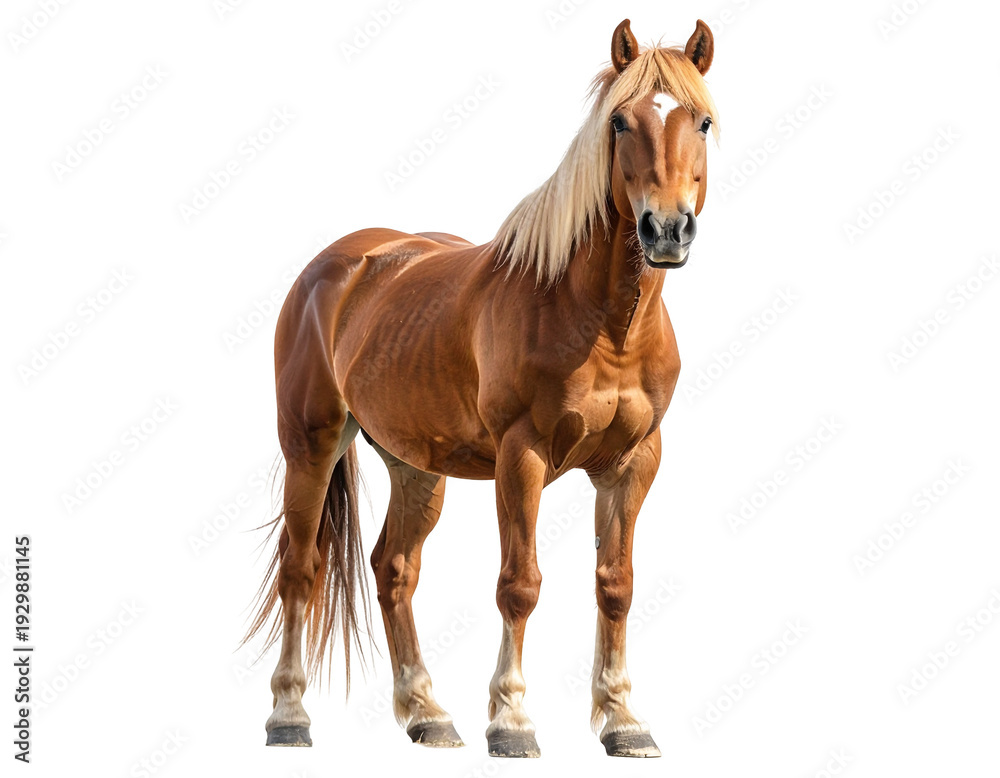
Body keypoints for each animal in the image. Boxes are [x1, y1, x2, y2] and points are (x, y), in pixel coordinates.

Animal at [244, 18, 719, 759]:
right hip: (311, 445)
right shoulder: (520, 457)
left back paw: (427, 714)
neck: (598, 320)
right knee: (302, 568)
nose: (666, 229)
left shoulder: (633, 463)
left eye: (701, 120)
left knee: (394, 569)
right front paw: (512, 721)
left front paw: (623, 721)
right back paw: (289, 716)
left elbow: (616, 586)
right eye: (619, 122)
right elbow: (519, 584)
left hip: (414, 467)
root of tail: (340, 265)